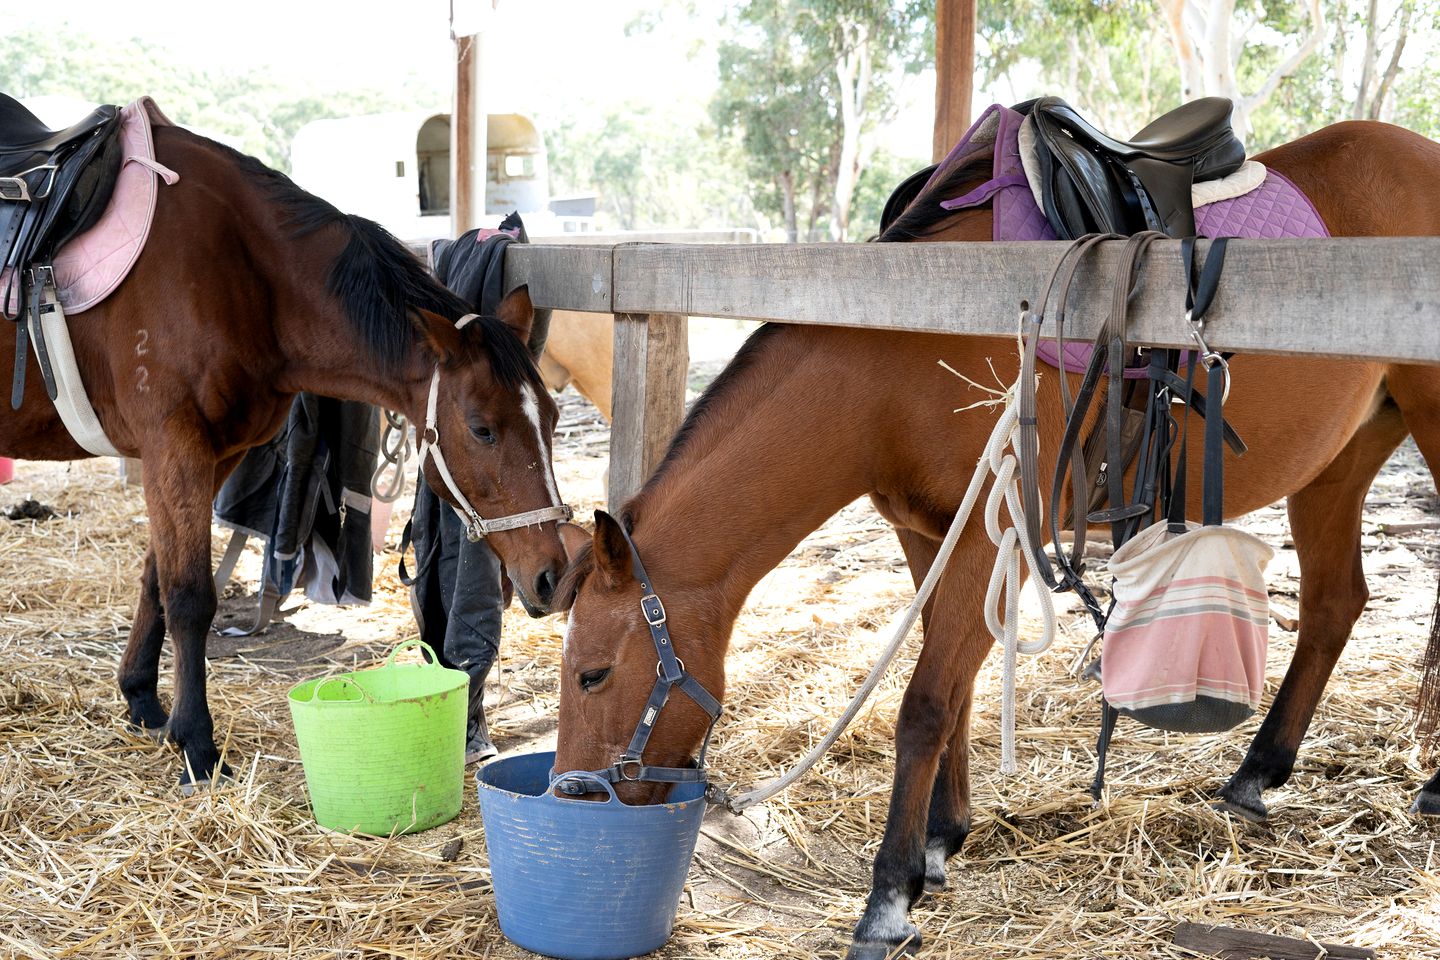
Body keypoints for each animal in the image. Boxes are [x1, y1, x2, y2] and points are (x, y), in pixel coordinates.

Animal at [0, 112, 573, 794]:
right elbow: (189, 597)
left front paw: (143, 700)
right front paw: (197, 746)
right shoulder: (175, 448)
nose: (554, 576)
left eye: (553, 418)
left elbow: (156, 581)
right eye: (483, 429)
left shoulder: (210, 455)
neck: (243, 273)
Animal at [555, 118, 1440, 960]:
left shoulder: (992, 537)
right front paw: (940, 841)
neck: (908, 342)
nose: (571, 794)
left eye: (594, 674)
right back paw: (1257, 772)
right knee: (1334, 604)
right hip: (1339, 461)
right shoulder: (929, 535)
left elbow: (925, 703)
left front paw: (888, 899)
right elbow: (956, 690)